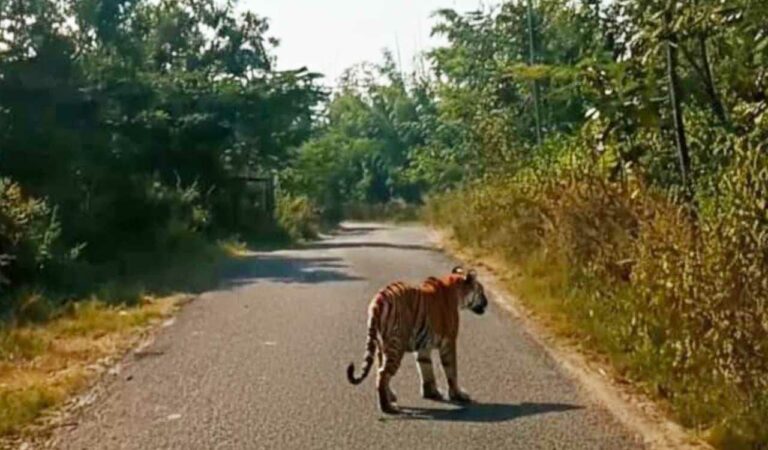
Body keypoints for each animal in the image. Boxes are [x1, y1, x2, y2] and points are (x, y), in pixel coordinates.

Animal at [346, 266, 489, 414]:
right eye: (481, 291)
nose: (487, 302)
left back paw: (391, 397)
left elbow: (426, 368)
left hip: (381, 345)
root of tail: (378, 300)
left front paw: (432, 393)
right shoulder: (449, 341)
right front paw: (458, 395)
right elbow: (451, 370)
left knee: (380, 371)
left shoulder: (423, 346)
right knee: (383, 374)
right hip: (396, 345)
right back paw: (388, 407)